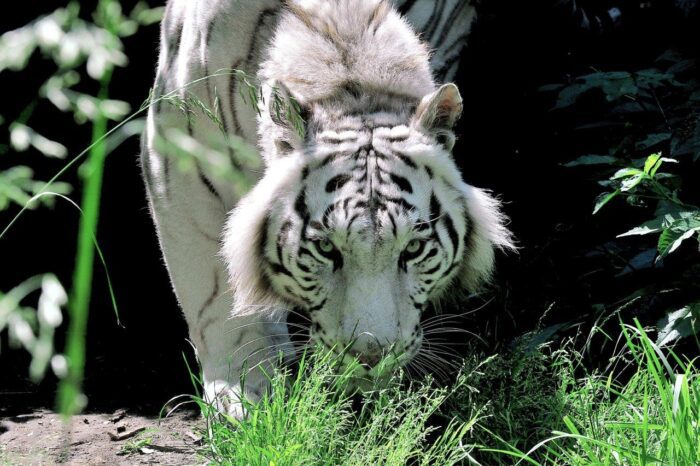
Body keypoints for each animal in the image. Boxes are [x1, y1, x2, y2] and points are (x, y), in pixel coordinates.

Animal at [144, 0, 516, 416]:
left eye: (414, 248)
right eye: (325, 248)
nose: (370, 356)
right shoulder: (176, 151)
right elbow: (216, 288)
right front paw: (242, 392)